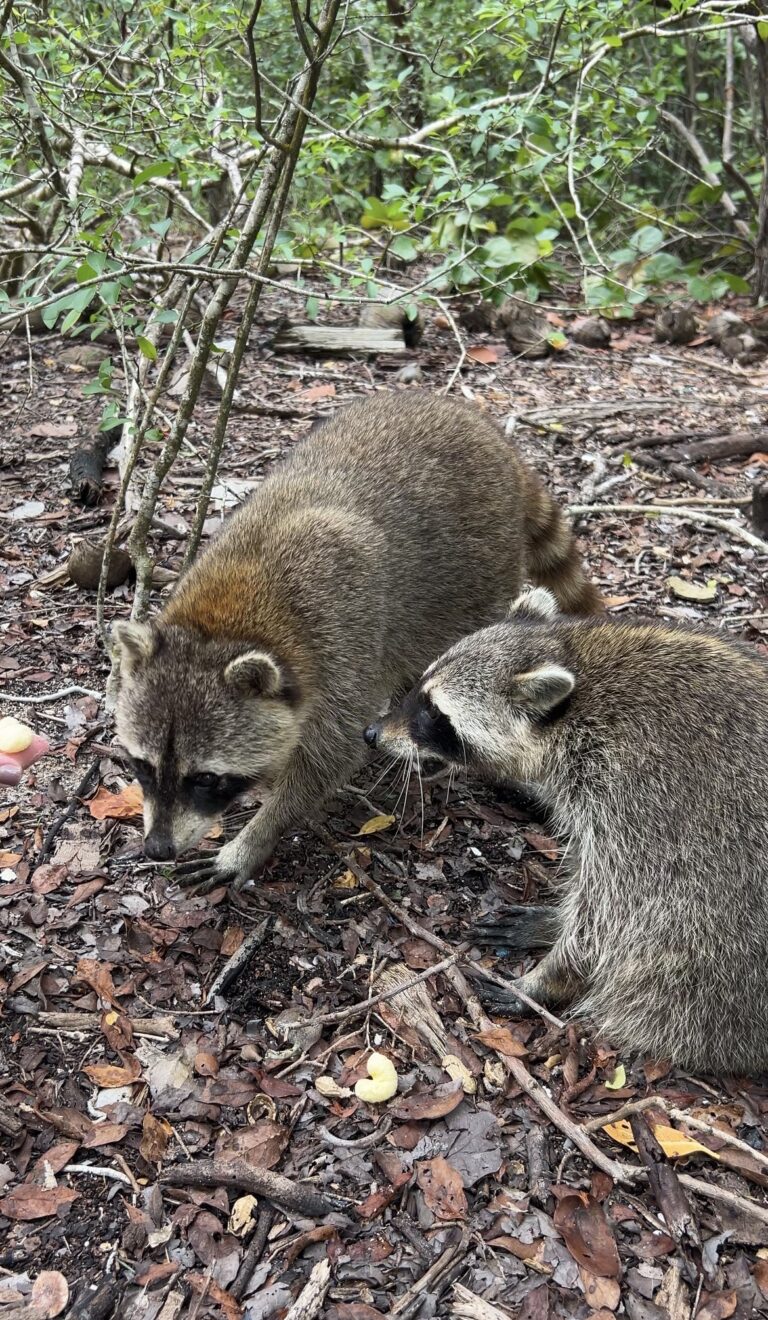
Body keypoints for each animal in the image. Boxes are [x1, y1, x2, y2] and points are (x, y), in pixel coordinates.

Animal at [113, 393, 601, 896]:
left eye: (206, 778)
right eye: (141, 766)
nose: (158, 849)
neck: (224, 621)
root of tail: (486, 431)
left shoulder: (339, 637)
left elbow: (332, 753)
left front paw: (255, 837)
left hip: (485, 569)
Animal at [366, 587, 768, 1075]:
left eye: (435, 715)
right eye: (419, 690)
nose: (371, 733)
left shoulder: (637, 800)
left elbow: (612, 911)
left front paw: (549, 978)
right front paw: (552, 922)